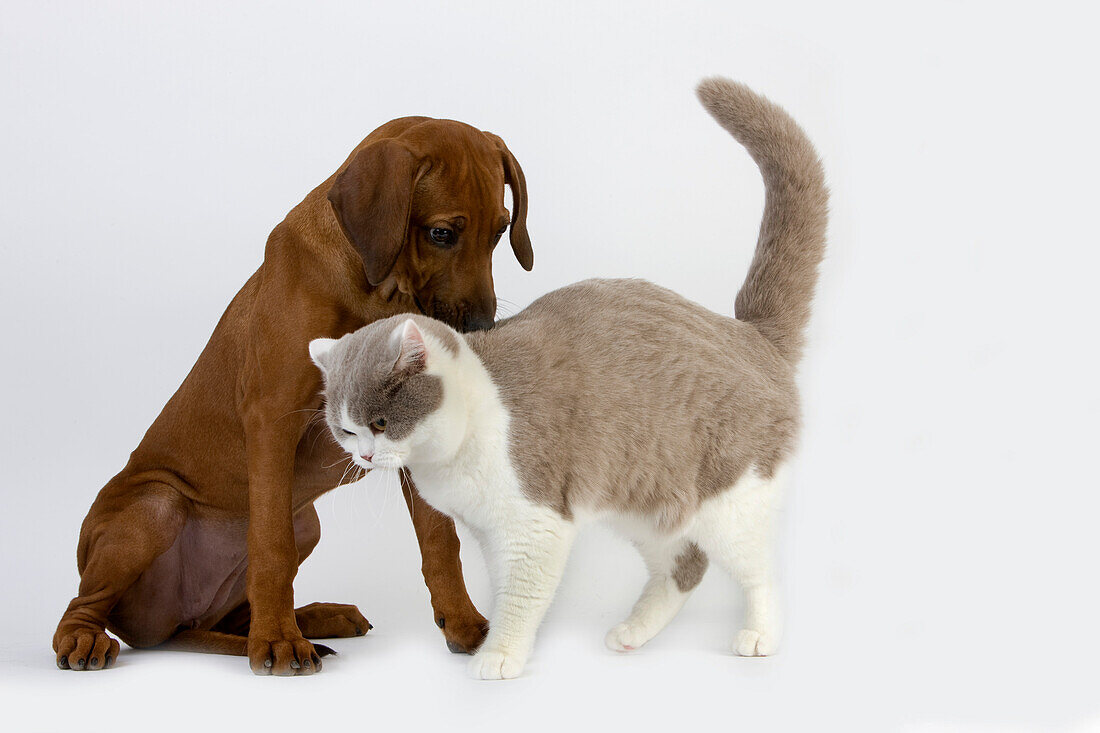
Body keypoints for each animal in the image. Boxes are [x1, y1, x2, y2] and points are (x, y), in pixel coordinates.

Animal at [52, 115, 532, 673]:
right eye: (441, 234)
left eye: (499, 231)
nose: (481, 329)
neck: (374, 291)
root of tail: (167, 625)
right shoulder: (272, 419)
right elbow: (270, 546)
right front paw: (279, 642)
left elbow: (439, 538)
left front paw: (463, 623)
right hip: (155, 507)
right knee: (83, 603)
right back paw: (87, 638)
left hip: (306, 525)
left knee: (231, 617)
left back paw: (317, 617)